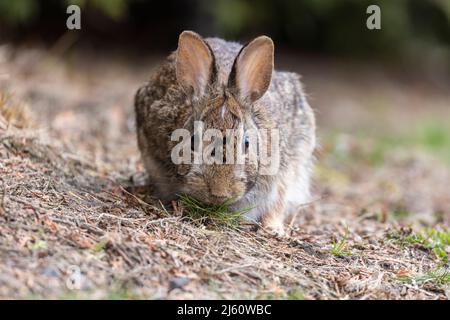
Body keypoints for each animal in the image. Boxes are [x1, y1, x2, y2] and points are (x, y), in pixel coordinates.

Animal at [135, 30, 314, 235]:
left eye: (246, 143)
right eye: (192, 141)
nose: (219, 192)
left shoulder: (285, 172)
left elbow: (277, 203)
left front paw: (272, 229)